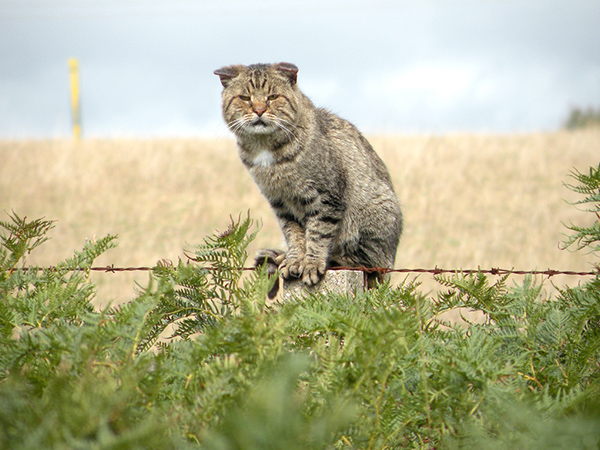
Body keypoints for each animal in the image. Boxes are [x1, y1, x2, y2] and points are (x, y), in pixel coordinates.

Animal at [216, 63, 404, 296]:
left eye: (272, 96)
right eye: (245, 98)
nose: (259, 110)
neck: (266, 149)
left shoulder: (326, 198)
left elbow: (318, 233)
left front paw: (312, 263)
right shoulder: (281, 203)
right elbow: (294, 234)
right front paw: (295, 259)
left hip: (374, 215)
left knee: (369, 263)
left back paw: (333, 259)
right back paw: (281, 257)